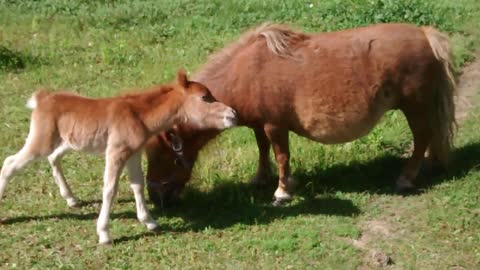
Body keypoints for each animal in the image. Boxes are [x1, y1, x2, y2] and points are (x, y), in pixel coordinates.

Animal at [0, 70, 237, 245]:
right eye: (205, 97)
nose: (233, 115)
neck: (139, 116)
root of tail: (42, 99)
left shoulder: (133, 153)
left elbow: (137, 185)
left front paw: (150, 222)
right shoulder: (116, 151)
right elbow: (110, 189)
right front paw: (104, 234)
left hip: (69, 141)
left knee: (53, 158)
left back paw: (71, 199)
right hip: (41, 140)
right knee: (10, 164)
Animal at [144, 23, 456, 206]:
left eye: (162, 156)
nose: (155, 197)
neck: (247, 72)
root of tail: (425, 35)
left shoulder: (275, 125)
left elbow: (282, 156)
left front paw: (282, 191)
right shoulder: (260, 125)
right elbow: (262, 150)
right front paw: (261, 178)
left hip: (415, 106)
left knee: (422, 137)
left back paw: (406, 178)